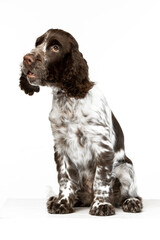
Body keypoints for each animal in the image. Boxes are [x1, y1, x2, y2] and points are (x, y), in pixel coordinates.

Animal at [19, 28, 142, 216]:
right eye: (37, 44)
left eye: (55, 47)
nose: (27, 58)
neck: (69, 97)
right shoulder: (61, 146)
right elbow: (64, 178)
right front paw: (62, 202)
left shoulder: (101, 145)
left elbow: (101, 179)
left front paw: (101, 205)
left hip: (125, 168)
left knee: (132, 193)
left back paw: (131, 202)